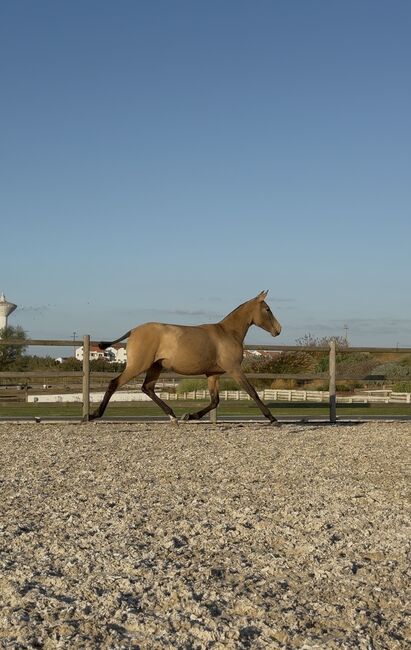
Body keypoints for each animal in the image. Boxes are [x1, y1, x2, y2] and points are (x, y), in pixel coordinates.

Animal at [85, 291, 282, 424]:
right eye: (267, 309)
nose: (278, 330)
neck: (228, 333)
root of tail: (133, 331)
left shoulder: (213, 374)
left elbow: (215, 401)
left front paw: (190, 415)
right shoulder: (234, 369)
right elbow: (252, 392)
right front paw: (272, 418)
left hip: (155, 366)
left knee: (147, 388)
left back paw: (173, 415)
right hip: (138, 366)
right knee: (115, 383)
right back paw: (93, 415)